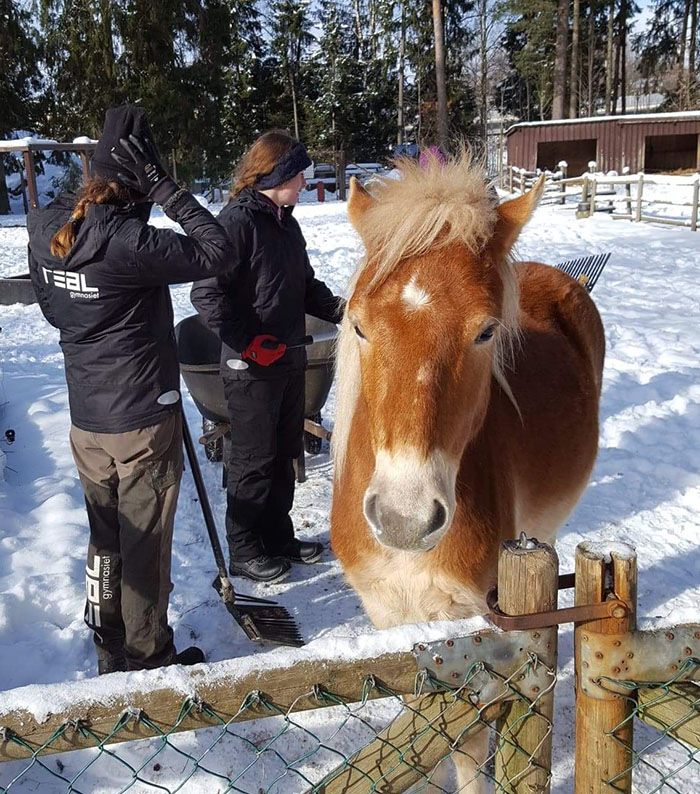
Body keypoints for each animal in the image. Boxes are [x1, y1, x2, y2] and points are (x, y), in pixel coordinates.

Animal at [330, 153, 604, 784]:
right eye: (358, 325)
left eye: (485, 331)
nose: (404, 519)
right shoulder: (389, 613)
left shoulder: (475, 626)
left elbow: (465, 742)